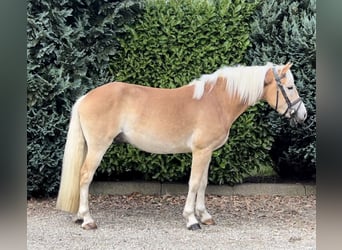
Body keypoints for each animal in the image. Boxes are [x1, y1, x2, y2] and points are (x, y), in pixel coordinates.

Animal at [55, 62, 308, 230]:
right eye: (291, 87)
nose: (303, 115)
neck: (217, 101)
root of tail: (86, 97)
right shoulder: (200, 151)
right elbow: (194, 183)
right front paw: (192, 219)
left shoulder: (207, 152)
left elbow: (203, 184)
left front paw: (204, 215)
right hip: (98, 147)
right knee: (85, 176)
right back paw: (87, 219)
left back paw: (79, 216)